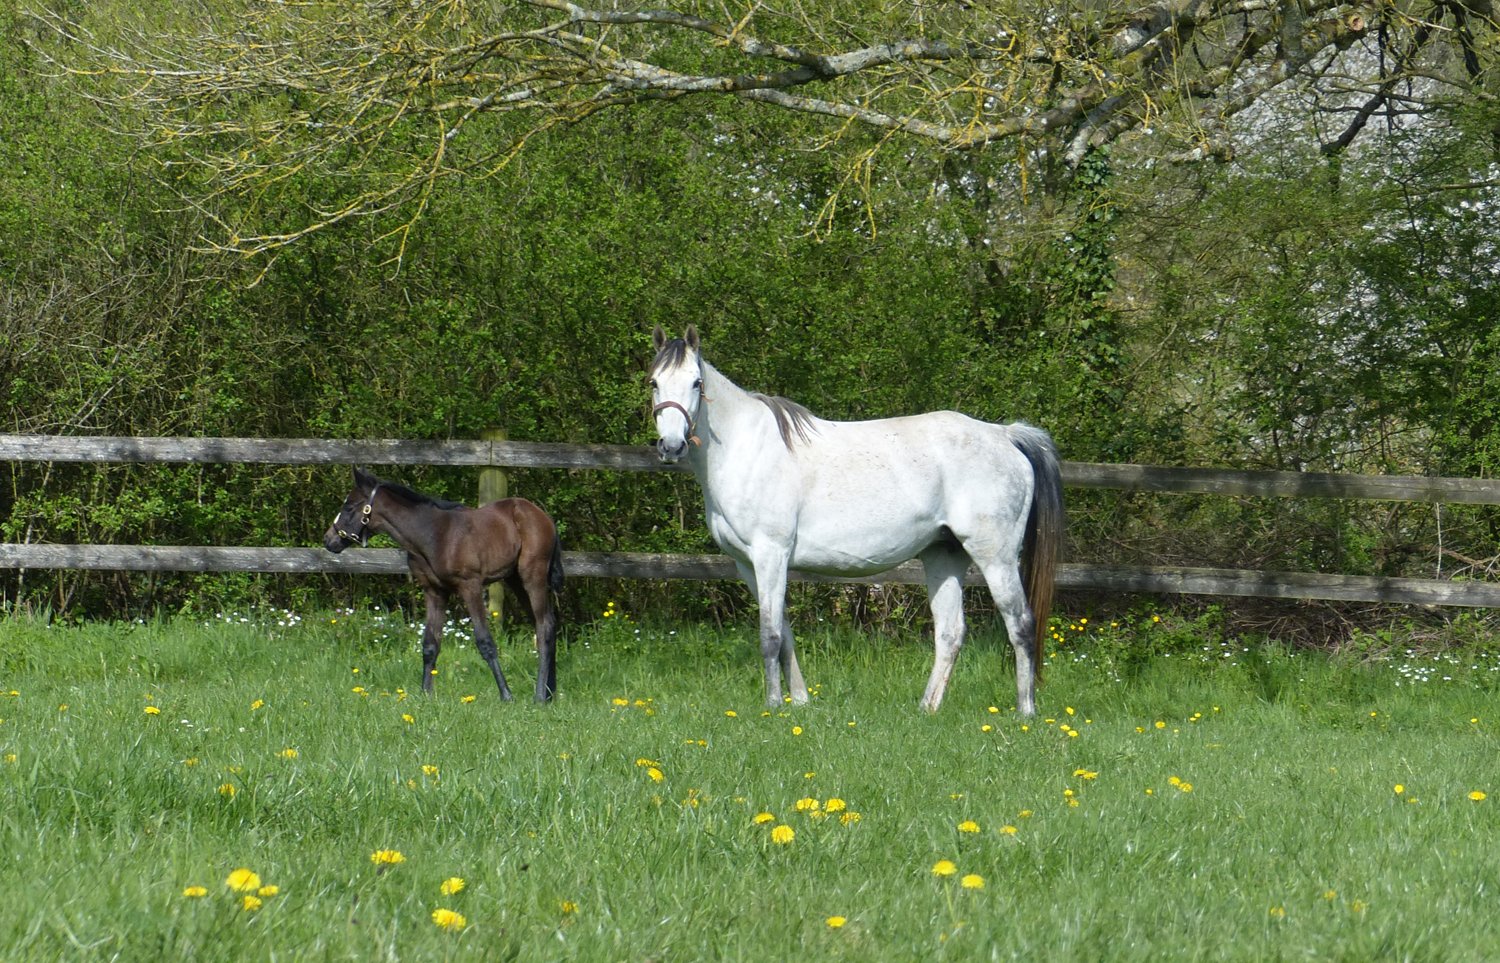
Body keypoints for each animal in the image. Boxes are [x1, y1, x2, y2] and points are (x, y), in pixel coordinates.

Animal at [323, 467, 564, 702]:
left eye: (349, 507)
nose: (328, 540)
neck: (435, 535)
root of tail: (543, 516)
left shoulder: (471, 586)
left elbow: (485, 641)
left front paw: (506, 695)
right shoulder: (434, 590)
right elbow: (430, 644)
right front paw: (426, 695)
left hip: (532, 575)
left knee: (544, 626)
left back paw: (539, 697)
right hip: (515, 579)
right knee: (548, 623)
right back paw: (549, 693)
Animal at [648, 326, 1063, 715]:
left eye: (696, 382)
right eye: (654, 382)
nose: (671, 446)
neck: (745, 450)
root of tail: (1004, 435)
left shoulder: (771, 554)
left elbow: (770, 636)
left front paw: (774, 705)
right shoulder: (747, 564)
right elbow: (785, 633)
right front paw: (799, 702)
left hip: (996, 557)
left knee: (1021, 624)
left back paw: (1025, 710)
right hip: (944, 554)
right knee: (950, 632)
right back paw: (926, 709)